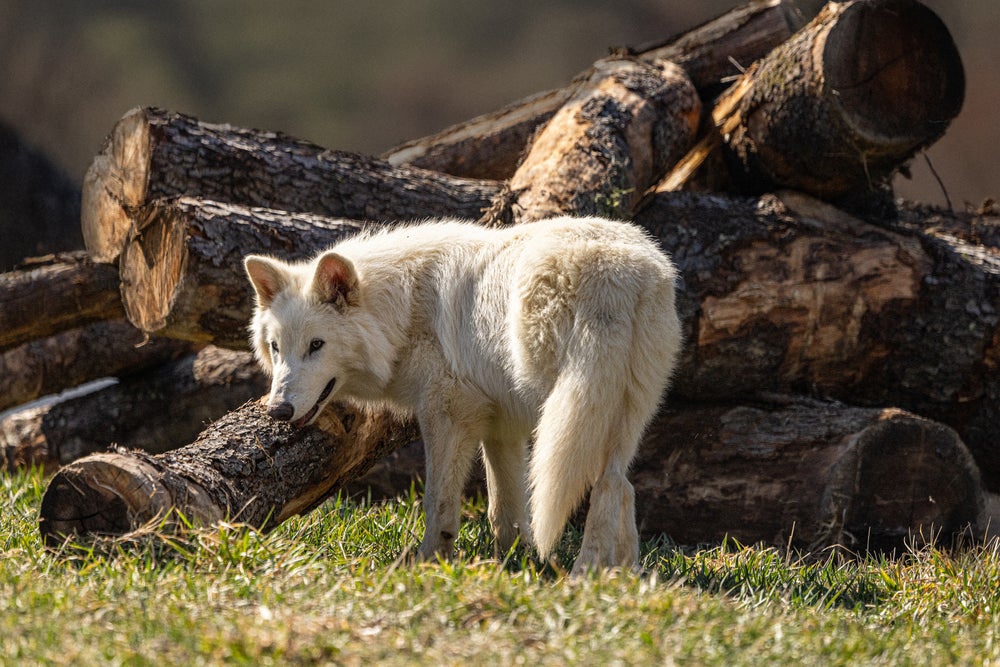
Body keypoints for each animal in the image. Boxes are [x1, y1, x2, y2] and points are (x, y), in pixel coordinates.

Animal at [244, 216, 681, 574]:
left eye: (316, 345)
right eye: (276, 347)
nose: (278, 410)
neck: (403, 311)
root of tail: (616, 273)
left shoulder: (449, 416)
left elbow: (438, 503)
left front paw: (428, 563)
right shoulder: (502, 428)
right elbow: (504, 511)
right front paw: (513, 565)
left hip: (564, 414)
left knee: (603, 486)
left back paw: (583, 576)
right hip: (617, 416)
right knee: (618, 485)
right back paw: (619, 576)